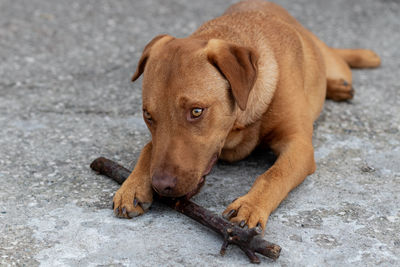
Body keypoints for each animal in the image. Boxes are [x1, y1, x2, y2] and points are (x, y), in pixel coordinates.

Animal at [111, 0, 378, 233]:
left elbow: (273, 175)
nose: (161, 186)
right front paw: (133, 185)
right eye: (148, 115)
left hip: (334, 63)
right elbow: (149, 147)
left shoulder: (299, 145)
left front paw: (250, 205)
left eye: (196, 111)